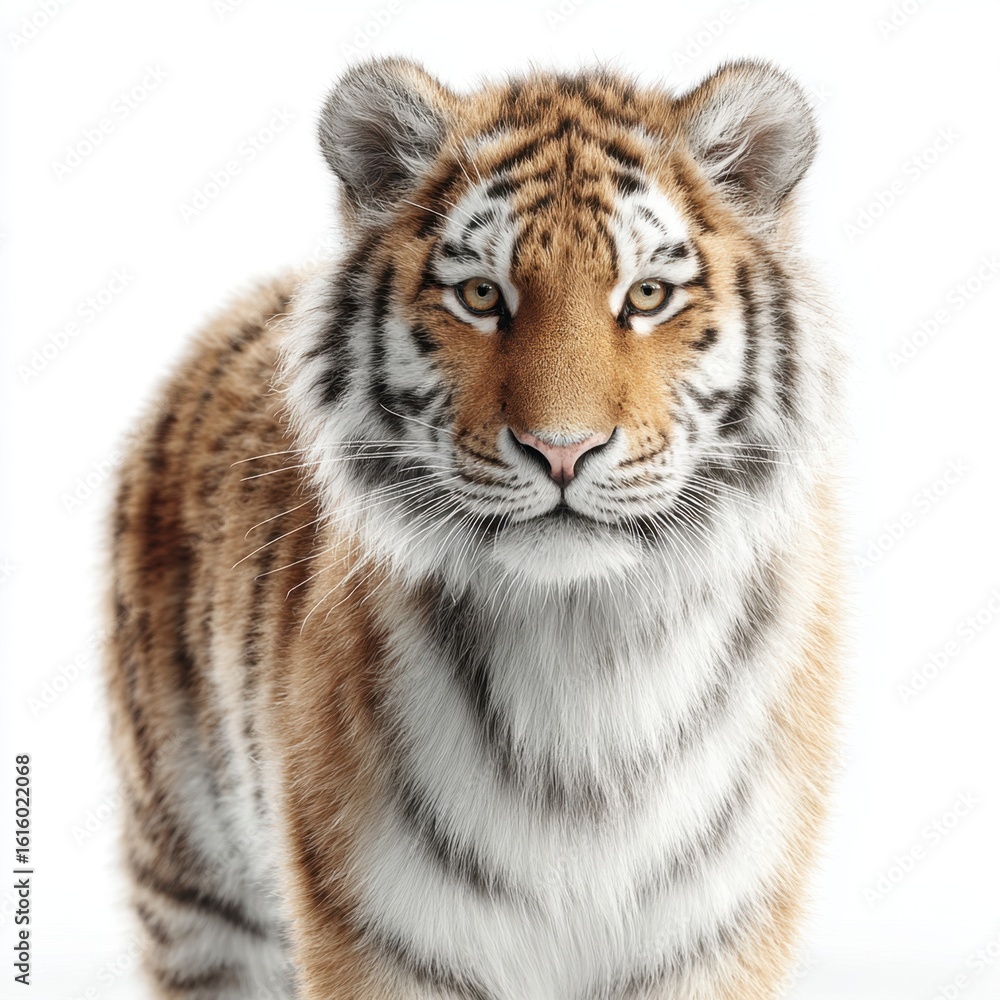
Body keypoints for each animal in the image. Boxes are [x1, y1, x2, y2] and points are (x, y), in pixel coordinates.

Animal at [103, 55, 844, 1000]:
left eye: (646, 295)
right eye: (482, 295)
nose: (562, 450)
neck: (588, 651)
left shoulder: (718, 931)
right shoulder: (379, 932)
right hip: (196, 888)